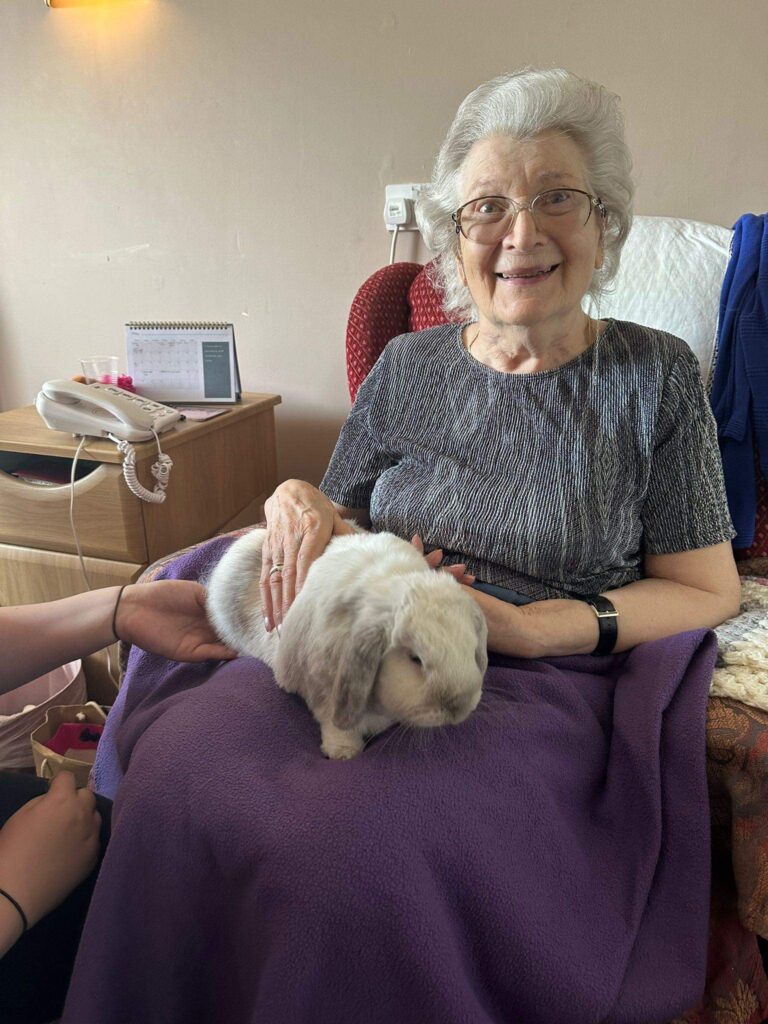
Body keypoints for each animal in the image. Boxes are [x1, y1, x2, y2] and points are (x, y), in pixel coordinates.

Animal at [206, 528, 488, 759]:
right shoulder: (324, 692)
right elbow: (335, 724)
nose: (460, 708)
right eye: (415, 659)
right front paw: (343, 752)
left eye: (471, 649)